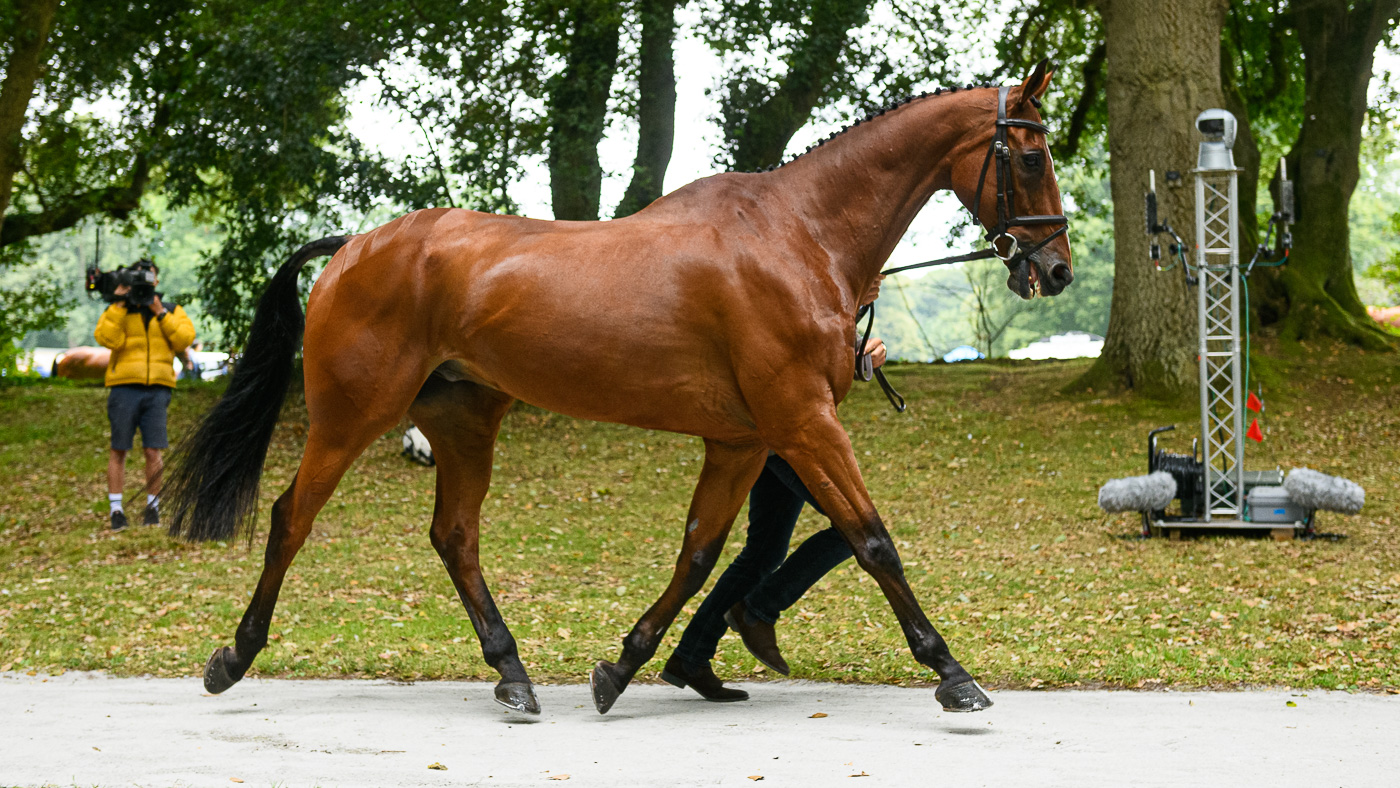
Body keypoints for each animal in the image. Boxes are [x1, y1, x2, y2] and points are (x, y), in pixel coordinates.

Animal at [165, 61, 1073, 717]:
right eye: (1031, 157)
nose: (1056, 268)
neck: (794, 234)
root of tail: (355, 245)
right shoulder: (803, 423)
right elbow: (871, 539)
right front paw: (952, 673)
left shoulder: (743, 440)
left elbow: (700, 554)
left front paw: (624, 666)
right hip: (351, 416)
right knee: (292, 517)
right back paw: (233, 657)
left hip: (462, 424)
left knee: (455, 538)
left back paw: (513, 675)